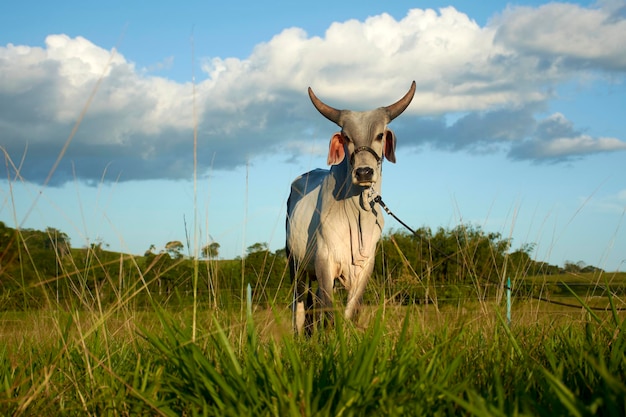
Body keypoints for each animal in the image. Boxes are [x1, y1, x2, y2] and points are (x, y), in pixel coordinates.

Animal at [284, 81, 414, 334]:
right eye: (346, 136)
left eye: (380, 134)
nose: (363, 172)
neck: (357, 213)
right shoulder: (325, 261)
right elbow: (329, 312)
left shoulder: (364, 268)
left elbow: (349, 312)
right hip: (296, 266)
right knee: (300, 307)